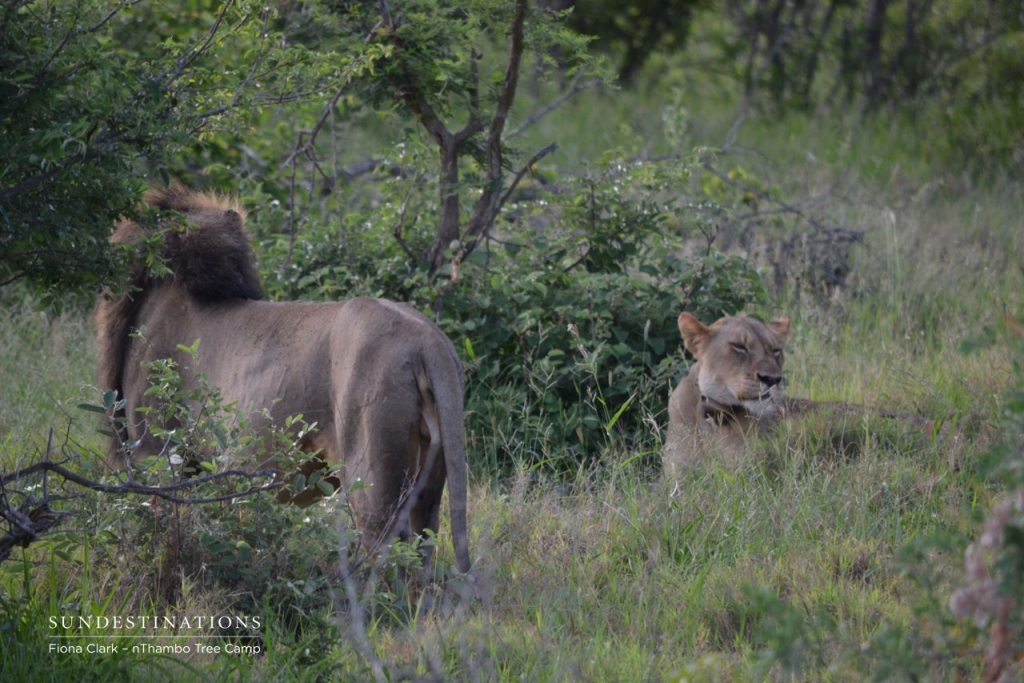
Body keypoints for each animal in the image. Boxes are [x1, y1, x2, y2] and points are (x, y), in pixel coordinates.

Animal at [97, 184, 473, 573]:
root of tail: (428, 339)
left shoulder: (157, 452)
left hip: (370, 473)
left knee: (385, 550)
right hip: (431, 475)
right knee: (424, 544)